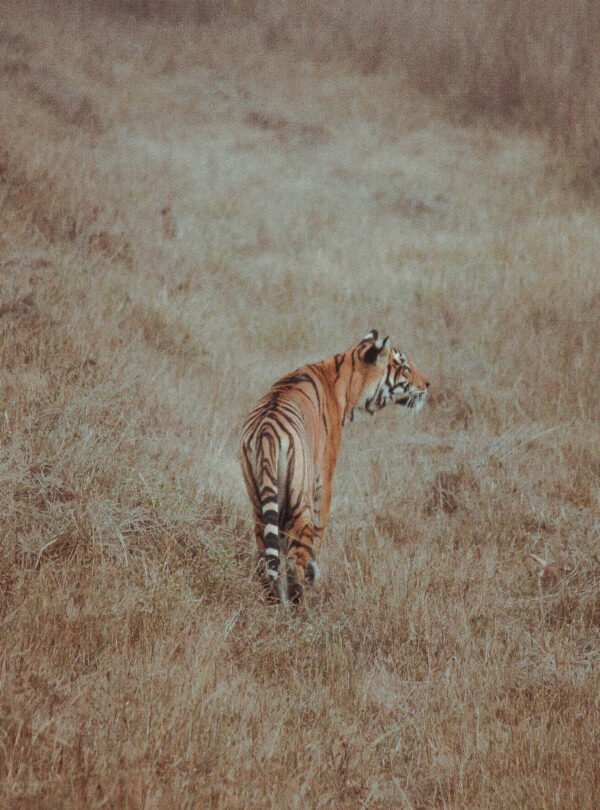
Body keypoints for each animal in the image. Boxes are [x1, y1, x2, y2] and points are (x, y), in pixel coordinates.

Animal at [239, 329, 430, 604]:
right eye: (404, 367)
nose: (428, 384)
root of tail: (267, 433)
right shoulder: (325, 479)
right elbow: (319, 532)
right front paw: (314, 573)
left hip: (258, 504)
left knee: (266, 558)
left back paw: (275, 602)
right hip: (300, 502)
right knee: (296, 561)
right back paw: (300, 602)